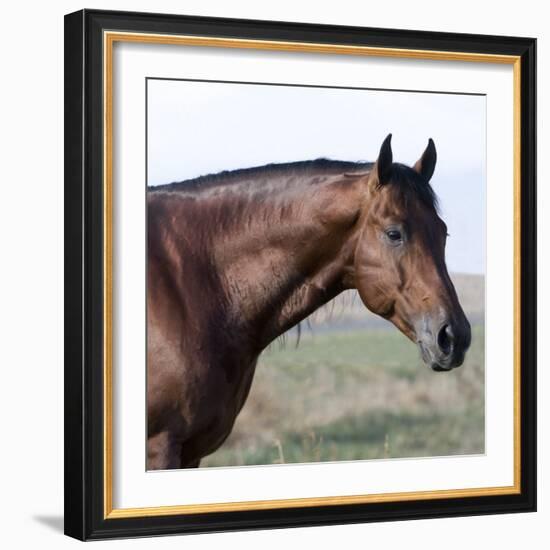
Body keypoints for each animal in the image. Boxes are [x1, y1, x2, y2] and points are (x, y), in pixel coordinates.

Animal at [148, 136, 474, 472]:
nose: (454, 336)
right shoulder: (161, 446)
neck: (193, 282)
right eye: (394, 233)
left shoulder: (193, 453)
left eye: (443, 232)